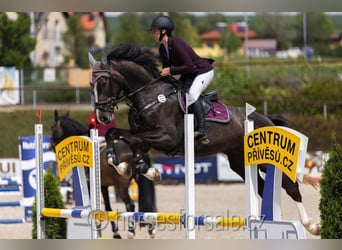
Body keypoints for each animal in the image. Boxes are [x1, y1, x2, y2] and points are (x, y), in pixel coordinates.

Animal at [49, 110, 158, 239]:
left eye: (52, 127)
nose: (50, 146)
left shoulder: (91, 186)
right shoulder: (103, 187)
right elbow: (107, 208)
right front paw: (115, 233)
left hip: (122, 185)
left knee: (130, 205)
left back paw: (131, 231)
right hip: (139, 179)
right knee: (147, 204)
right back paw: (151, 230)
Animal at [87, 43, 320, 234]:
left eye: (103, 81)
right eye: (91, 85)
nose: (103, 116)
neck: (149, 97)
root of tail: (267, 118)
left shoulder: (167, 138)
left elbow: (135, 142)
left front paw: (144, 170)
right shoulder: (141, 134)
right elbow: (117, 135)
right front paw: (122, 164)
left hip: (264, 159)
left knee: (291, 186)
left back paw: (311, 225)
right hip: (239, 162)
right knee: (264, 188)